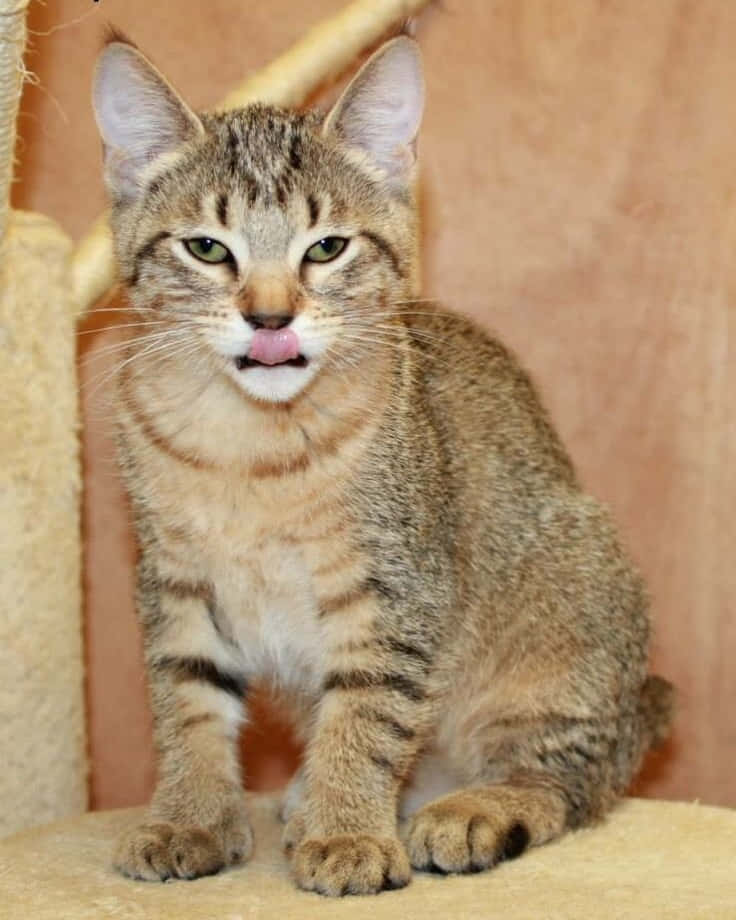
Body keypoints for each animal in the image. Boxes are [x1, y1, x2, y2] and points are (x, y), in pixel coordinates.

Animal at [92, 32, 672, 896]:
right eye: (207, 248)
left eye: (327, 247)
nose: (270, 317)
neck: (251, 447)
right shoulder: (175, 579)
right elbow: (186, 703)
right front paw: (191, 818)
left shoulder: (395, 587)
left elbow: (366, 711)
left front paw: (347, 833)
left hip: (573, 589)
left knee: (569, 778)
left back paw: (473, 808)